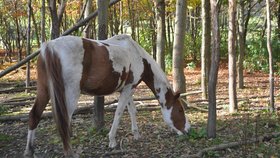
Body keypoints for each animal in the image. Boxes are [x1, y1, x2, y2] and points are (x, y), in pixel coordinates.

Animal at [24, 34, 191, 157]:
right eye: (180, 110)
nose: (188, 130)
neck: (137, 55)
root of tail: (50, 47)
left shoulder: (128, 89)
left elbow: (132, 110)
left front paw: (136, 134)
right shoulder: (128, 89)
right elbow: (119, 112)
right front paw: (112, 141)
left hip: (44, 90)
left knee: (35, 115)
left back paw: (29, 150)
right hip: (70, 94)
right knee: (64, 120)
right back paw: (69, 151)